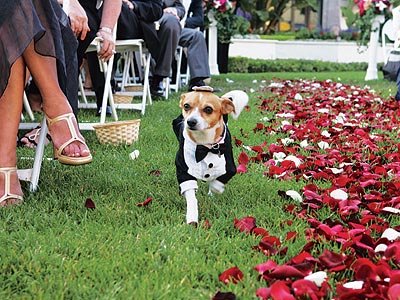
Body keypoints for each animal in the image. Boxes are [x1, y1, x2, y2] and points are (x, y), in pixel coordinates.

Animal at [171, 85, 248, 224]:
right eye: (186, 106)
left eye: (208, 109)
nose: (191, 121)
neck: (204, 145)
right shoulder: (183, 169)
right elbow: (191, 196)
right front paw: (192, 217)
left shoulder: (229, 167)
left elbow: (217, 183)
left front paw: (213, 191)